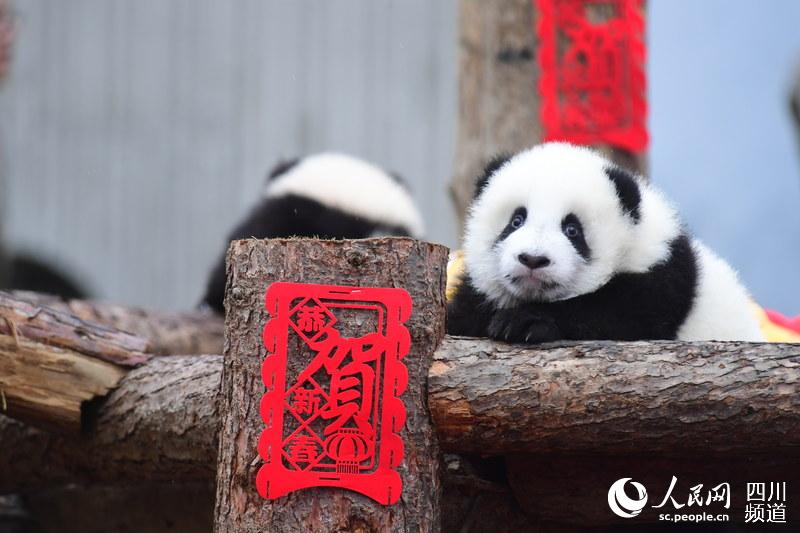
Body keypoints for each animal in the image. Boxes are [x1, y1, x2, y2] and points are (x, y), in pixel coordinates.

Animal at [450, 141, 764, 340]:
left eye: (572, 230)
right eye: (516, 220)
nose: (533, 259)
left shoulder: (661, 277)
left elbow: (615, 314)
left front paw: (524, 322)